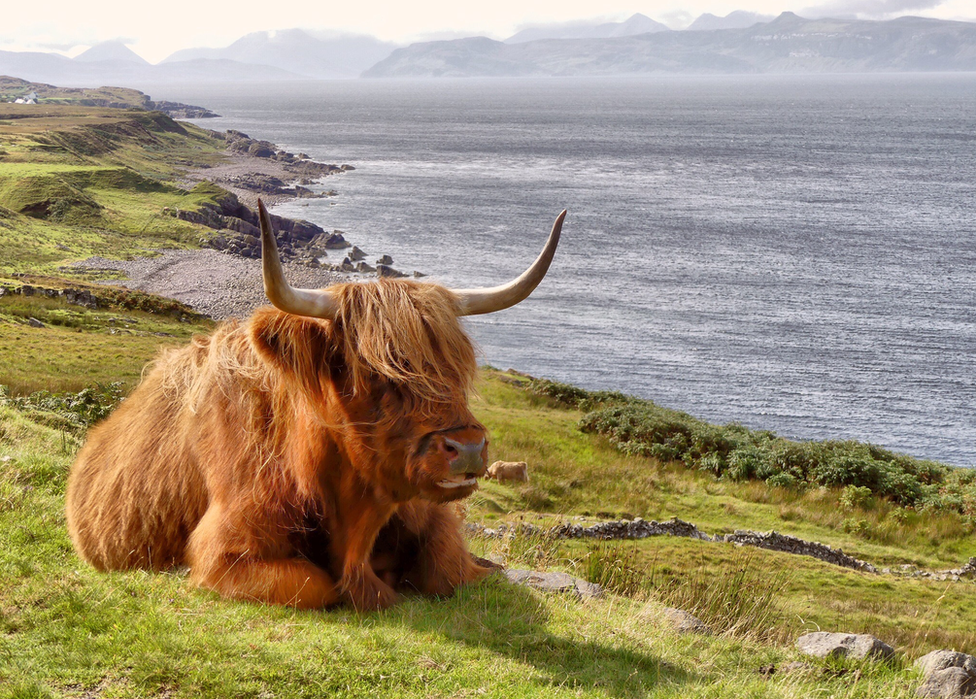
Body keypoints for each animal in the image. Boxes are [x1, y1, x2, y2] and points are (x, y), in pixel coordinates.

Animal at [65, 202, 564, 612]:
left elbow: (449, 570)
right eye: (377, 373)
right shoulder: (223, 552)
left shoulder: (430, 515)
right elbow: (318, 586)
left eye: (459, 367)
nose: (468, 448)